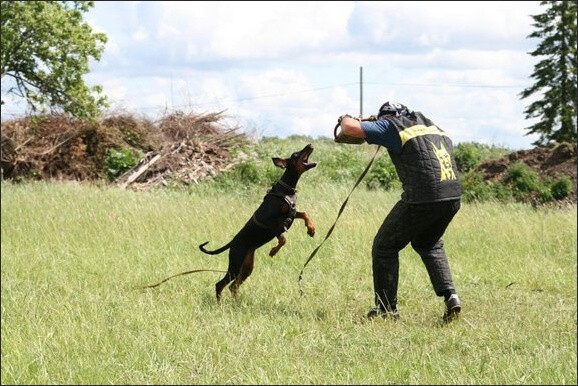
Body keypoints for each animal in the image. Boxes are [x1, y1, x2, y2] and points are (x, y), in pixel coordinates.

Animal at [198, 143, 316, 300]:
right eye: (296, 154)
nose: (310, 144)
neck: (287, 190)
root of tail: (232, 242)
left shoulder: (291, 213)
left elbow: (305, 214)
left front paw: (311, 228)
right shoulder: (270, 221)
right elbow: (282, 238)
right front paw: (273, 251)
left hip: (247, 267)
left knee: (233, 286)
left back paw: (236, 302)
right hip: (235, 263)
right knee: (220, 284)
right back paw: (220, 303)